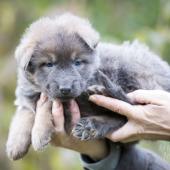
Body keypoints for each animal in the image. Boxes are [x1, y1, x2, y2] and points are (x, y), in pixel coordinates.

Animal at [6, 12, 170, 169]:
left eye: (77, 62)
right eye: (49, 64)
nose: (65, 89)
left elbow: (46, 107)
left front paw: (39, 134)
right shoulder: (28, 97)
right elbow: (24, 114)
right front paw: (15, 145)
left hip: (134, 71)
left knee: (128, 107)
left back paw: (100, 103)